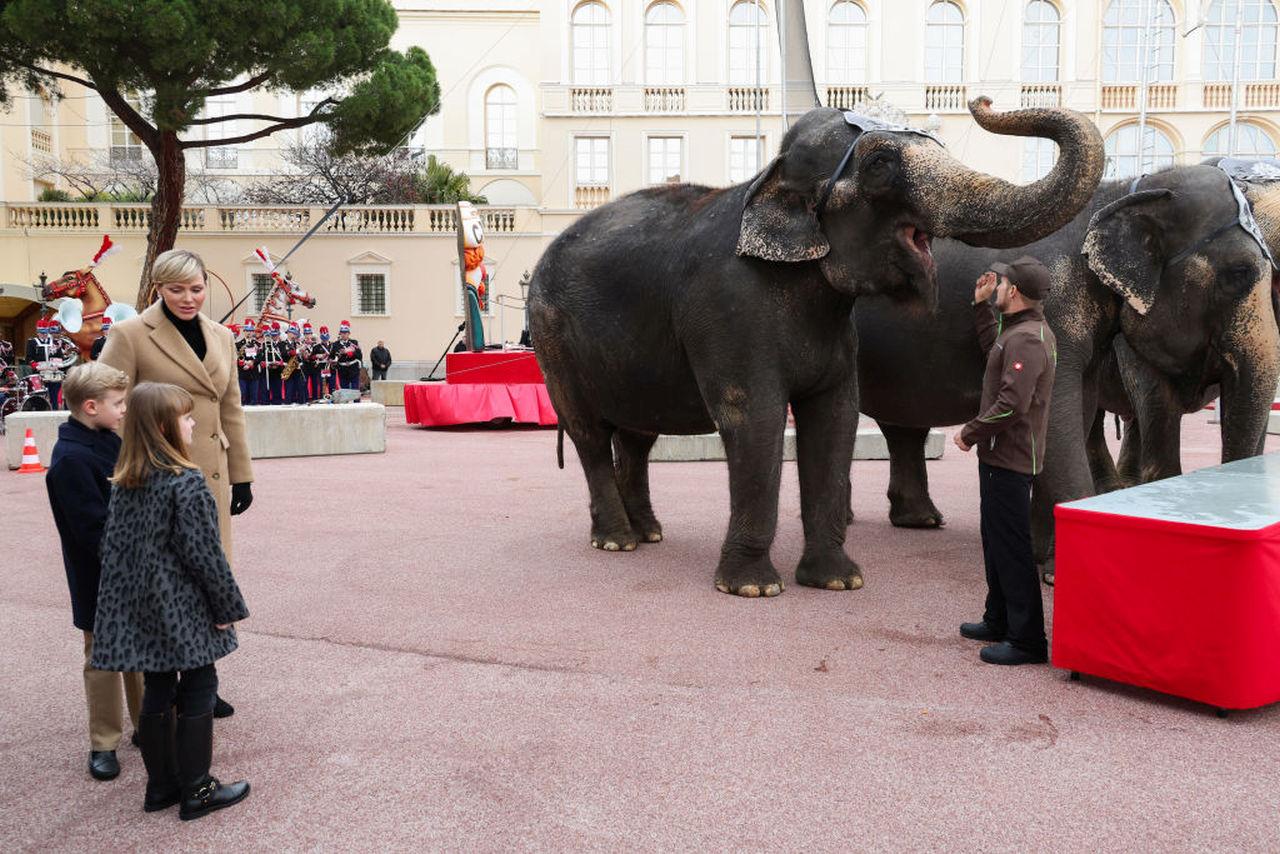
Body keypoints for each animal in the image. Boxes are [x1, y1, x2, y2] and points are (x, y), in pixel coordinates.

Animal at [524, 98, 1105, 594]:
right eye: (881, 165)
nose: (980, 100)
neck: (769, 178)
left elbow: (836, 416)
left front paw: (838, 581)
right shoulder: (727, 306)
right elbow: (755, 416)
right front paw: (753, 588)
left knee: (637, 437)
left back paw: (647, 533)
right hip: (551, 340)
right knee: (589, 433)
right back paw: (616, 541)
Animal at [849, 162, 1280, 581]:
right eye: (1239, 273)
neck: (1115, 193)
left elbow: (1072, 413)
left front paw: (1039, 556)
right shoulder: (1056, 304)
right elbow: (1060, 415)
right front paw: (1061, 574)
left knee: (901, 426)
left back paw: (919, 520)